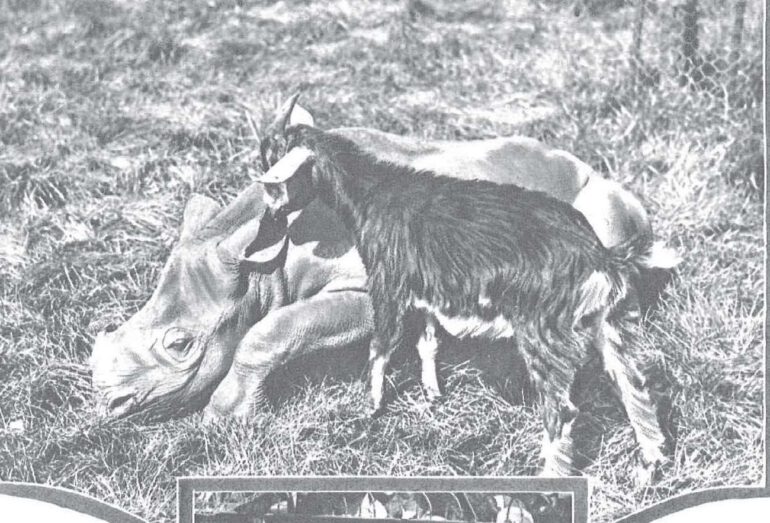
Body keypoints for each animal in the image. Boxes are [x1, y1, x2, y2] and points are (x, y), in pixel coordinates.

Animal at [90, 96, 669, 421]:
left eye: (180, 345)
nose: (108, 406)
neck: (269, 258)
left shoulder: (374, 287)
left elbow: (270, 331)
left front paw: (223, 421)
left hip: (596, 202)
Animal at [258, 124, 675, 480]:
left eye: (275, 182)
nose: (270, 220)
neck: (373, 192)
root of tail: (598, 256)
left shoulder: (388, 283)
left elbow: (380, 347)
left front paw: (371, 407)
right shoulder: (427, 290)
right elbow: (427, 341)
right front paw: (432, 393)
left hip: (543, 333)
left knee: (562, 410)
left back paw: (550, 480)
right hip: (613, 321)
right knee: (633, 383)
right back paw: (652, 462)